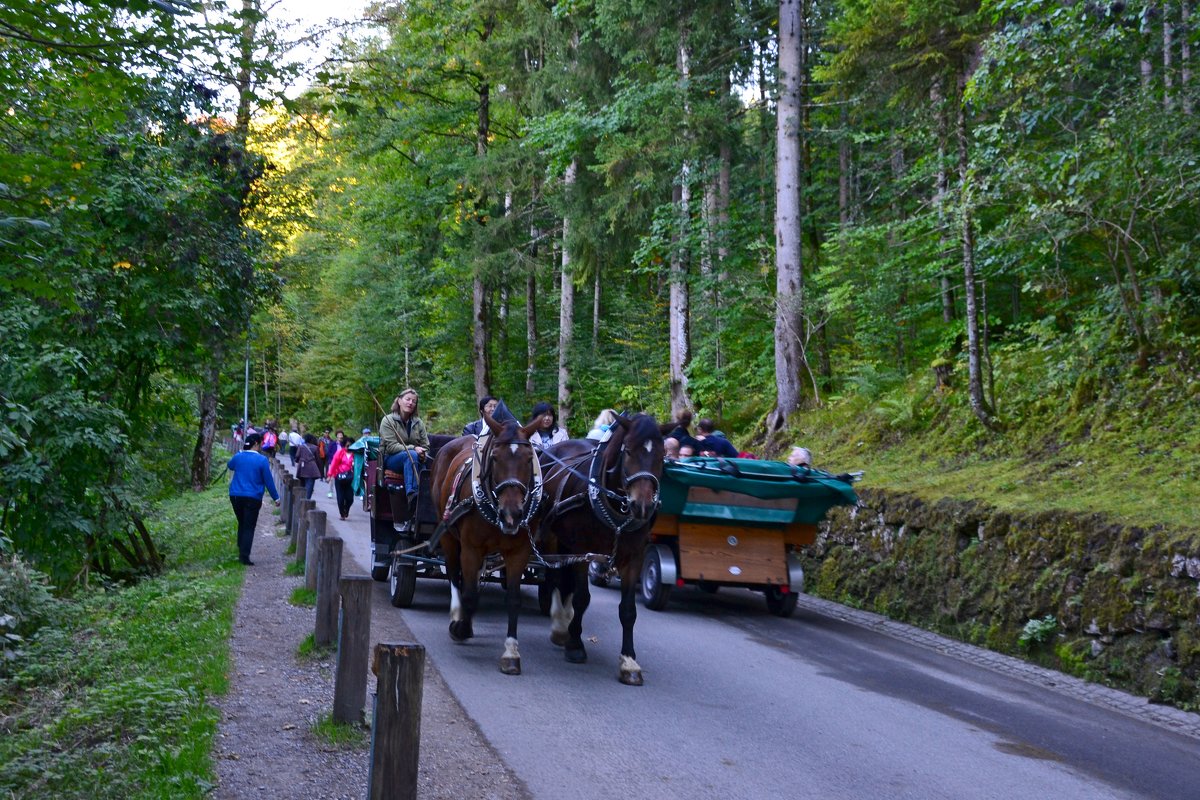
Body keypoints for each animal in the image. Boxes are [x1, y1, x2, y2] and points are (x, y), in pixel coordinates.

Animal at [429, 412, 542, 676]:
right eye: (495, 458)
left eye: (529, 458)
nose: (512, 514)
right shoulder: (471, 548)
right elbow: (470, 595)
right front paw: (460, 627)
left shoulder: (519, 552)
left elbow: (513, 599)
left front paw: (511, 652)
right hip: (448, 534)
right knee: (454, 574)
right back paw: (457, 614)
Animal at [537, 417, 667, 686]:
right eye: (628, 451)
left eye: (662, 455)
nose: (642, 505)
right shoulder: (584, 551)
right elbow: (582, 597)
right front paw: (575, 645)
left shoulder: (634, 558)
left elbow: (628, 610)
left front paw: (628, 661)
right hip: (552, 537)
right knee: (554, 578)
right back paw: (559, 626)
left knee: (564, 581)